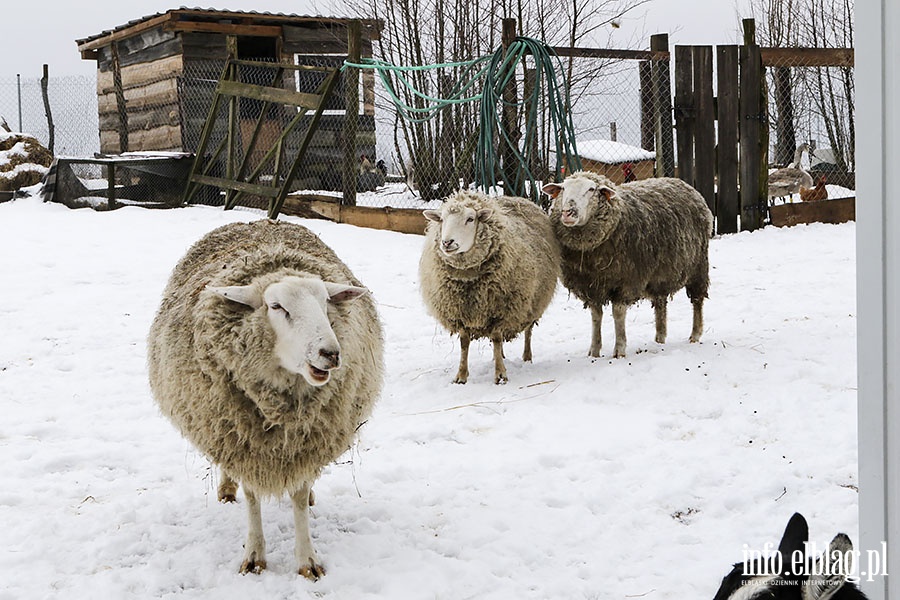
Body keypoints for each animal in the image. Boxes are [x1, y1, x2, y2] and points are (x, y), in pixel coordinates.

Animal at [147, 218, 384, 580]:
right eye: (276, 307)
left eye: (325, 303)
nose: (330, 354)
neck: (281, 415)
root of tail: (259, 219)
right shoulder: (245, 445)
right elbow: (252, 496)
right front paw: (255, 556)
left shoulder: (305, 443)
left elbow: (298, 496)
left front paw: (307, 560)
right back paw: (226, 489)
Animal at [418, 192, 560, 384]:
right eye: (442, 219)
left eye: (470, 219)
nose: (447, 242)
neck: (468, 278)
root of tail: (516, 197)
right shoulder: (460, 313)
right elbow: (464, 343)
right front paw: (461, 375)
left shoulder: (501, 310)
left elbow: (497, 338)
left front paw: (500, 375)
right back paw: (499, 356)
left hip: (532, 303)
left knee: (528, 331)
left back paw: (526, 357)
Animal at [536, 173, 712, 358]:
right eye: (563, 188)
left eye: (591, 189)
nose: (567, 212)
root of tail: (682, 183)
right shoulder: (591, 286)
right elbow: (596, 316)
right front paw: (594, 350)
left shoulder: (626, 282)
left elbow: (618, 314)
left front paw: (619, 350)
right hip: (660, 275)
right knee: (660, 302)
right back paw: (659, 338)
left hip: (698, 266)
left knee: (697, 300)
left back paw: (695, 334)